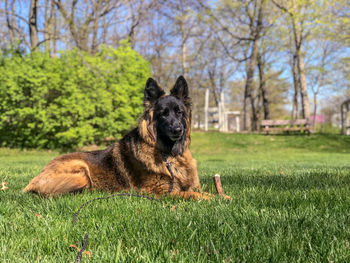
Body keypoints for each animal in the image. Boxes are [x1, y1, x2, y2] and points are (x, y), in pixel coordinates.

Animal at [23, 76, 213, 200]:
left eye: (179, 112)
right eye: (163, 114)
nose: (177, 130)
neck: (169, 155)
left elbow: (203, 190)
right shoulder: (161, 191)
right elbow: (192, 194)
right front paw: (210, 199)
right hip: (82, 171)